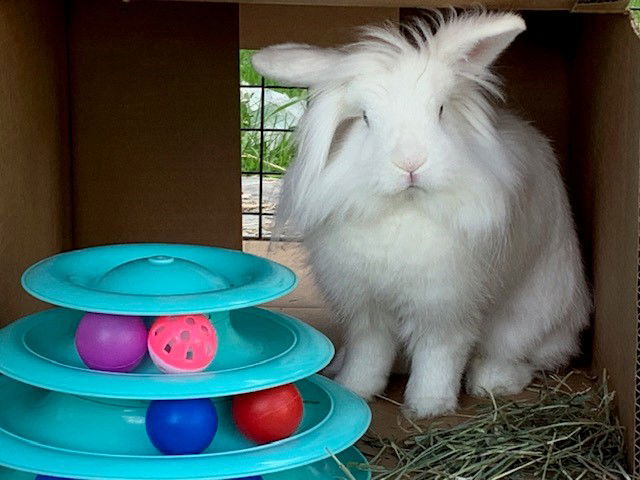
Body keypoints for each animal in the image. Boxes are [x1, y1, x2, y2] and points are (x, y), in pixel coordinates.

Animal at [252, 10, 592, 416]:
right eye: (365, 118)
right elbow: (369, 352)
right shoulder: (365, 308)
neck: (405, 207)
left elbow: (439, 355)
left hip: (527, 316)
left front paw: (428, 406)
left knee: (518, 355)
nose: (410, 163)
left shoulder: (444, 307)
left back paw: (490, 383)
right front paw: (355, 389)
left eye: (441, 110)